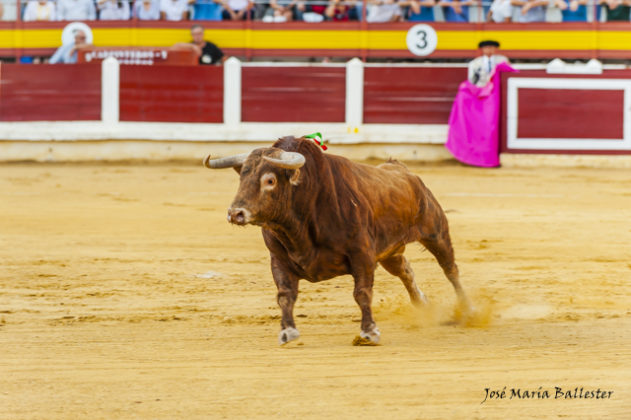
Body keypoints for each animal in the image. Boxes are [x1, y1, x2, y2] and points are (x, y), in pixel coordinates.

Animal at [202, 135, 470, 344]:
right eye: (242, 177)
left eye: (270, 180)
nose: (235, 213)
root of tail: (403, 171)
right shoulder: (278, 258)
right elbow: (285, 294)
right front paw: (287, 331)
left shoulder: (362, 255)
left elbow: (362, 292)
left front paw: (369, 332)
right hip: (390, 252)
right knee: (405, 270)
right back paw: (422, 303)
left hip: (436, 231)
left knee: (450, 269)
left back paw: (468, 310)